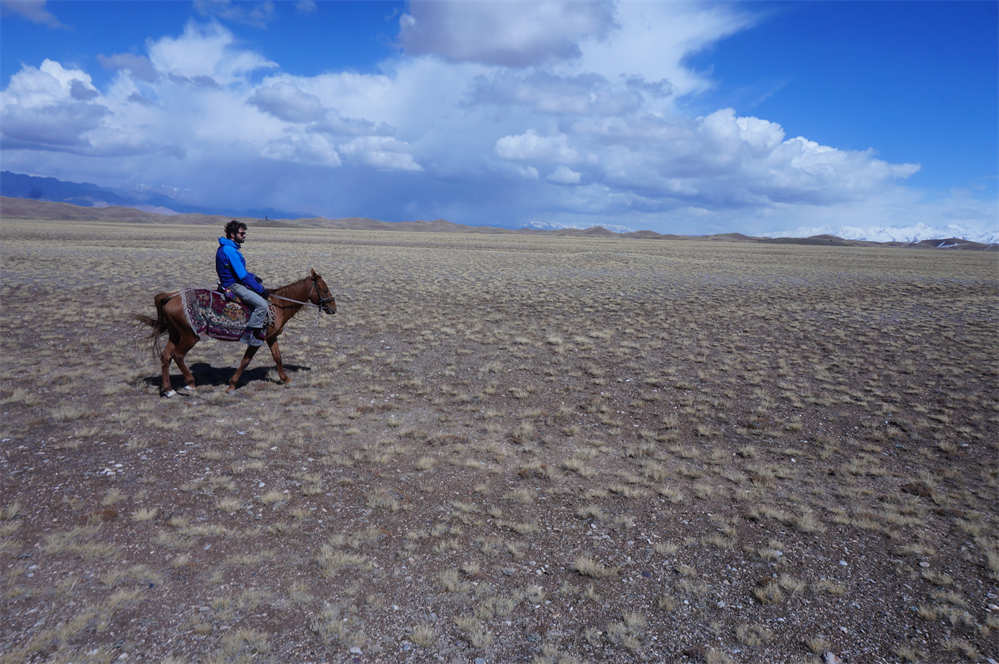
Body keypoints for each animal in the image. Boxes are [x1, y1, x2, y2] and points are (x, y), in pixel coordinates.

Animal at [135, 269, 336, 395]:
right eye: (325, 289)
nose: (333, 308)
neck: (277, 306)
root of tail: (170, 296)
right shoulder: (257, 338)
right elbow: (246, 360)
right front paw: (231, 386)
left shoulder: (271, 337)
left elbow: (278, 357)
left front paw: (286, 379)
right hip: (189, 335)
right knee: (177, 355)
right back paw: (191, 383)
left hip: (175, 335)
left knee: (165, 356)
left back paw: (168, 390)